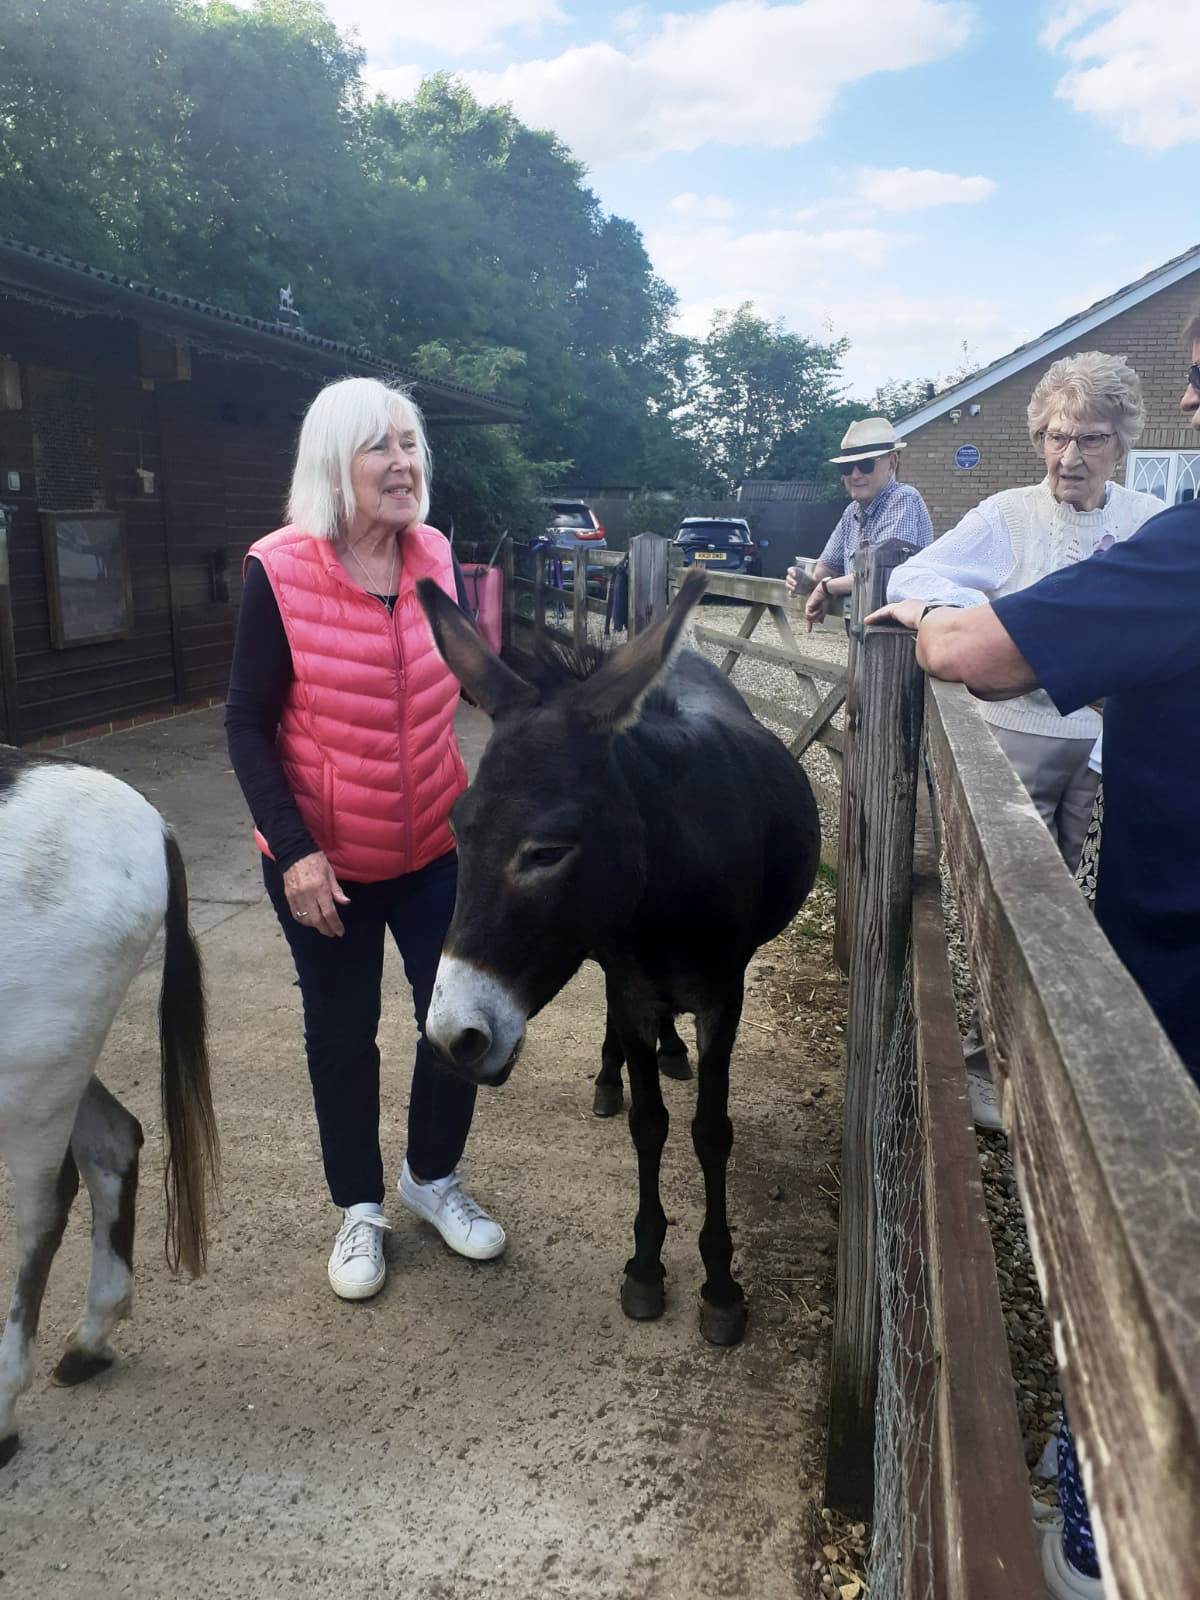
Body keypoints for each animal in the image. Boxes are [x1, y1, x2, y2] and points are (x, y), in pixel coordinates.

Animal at [0, 742, 219, 1465]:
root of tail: (151, 824)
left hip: (34, 1072)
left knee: (44, 1209)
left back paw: (5, 1408)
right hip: (59, 1056)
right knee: (114, 1142)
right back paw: (91, 1340)